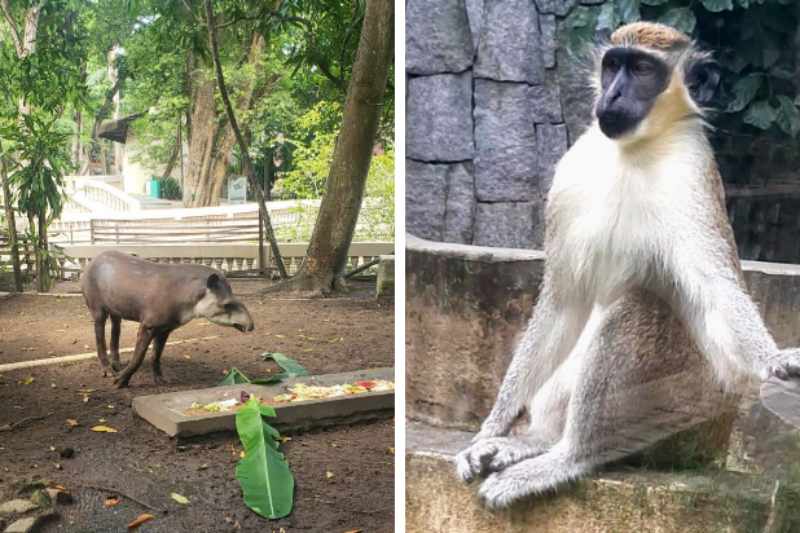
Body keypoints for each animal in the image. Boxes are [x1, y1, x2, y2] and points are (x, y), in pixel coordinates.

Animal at [455, 22, 800, 509]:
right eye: (613, 65)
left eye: (642, 70)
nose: (613, 95)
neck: (634, 150)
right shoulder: (573, 170)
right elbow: (562, 301)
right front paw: (490, 429)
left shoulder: (691, 173)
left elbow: (715, 288)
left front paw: (774, 359)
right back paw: (535, 441)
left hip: (685, 413)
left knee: (639, 302)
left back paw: (567, 457)